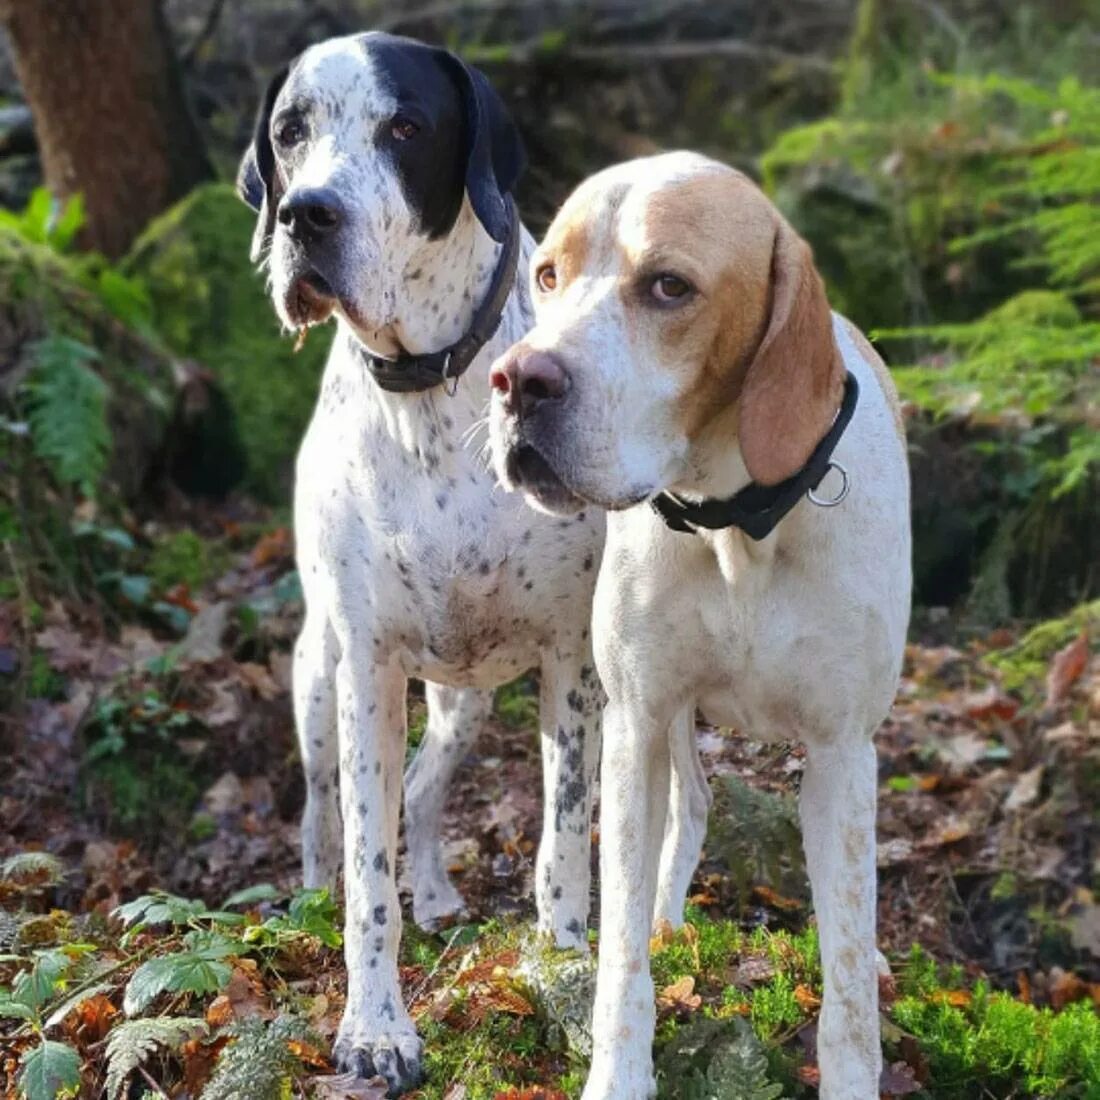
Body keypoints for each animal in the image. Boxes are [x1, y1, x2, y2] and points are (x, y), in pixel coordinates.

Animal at [236, 34, 708, 1091]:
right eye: (290, 131)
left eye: (406, 127)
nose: (304, 215)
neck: (426, 392)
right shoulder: (369, 667)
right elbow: (366, 869)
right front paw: (375, 1027)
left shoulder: (573, 664)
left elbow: (565, 838)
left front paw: (563, 958)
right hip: (320, 678)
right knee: (325, 813)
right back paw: (315, 898)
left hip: (466, 698)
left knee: (422, 786)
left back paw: (443, 892)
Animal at [490, 152, 910, 1100]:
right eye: (547, 274)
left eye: (668, 286)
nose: (519, 380)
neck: (738, 522)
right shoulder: (636, 724)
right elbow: (618, 961)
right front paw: (619, 1072)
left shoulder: (842, 753)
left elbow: (847, 976)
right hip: (663, 721)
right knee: (694, 805)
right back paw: (666, 917)